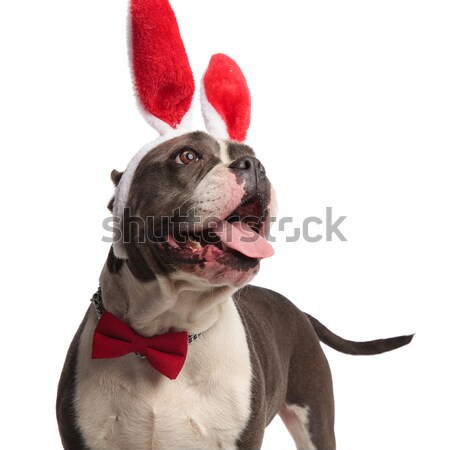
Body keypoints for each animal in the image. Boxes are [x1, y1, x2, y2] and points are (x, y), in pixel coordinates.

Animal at [57, 1, 414, 448]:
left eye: (254, 155)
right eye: (187, 156)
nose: (254, 166)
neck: (163, 335)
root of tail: (298, 308)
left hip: (314, 416)